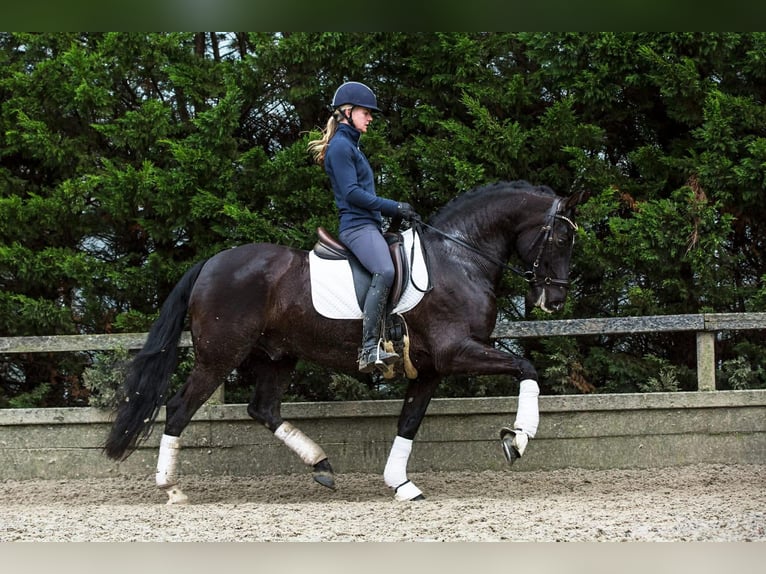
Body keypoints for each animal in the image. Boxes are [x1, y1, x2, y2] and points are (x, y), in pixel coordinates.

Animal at [104, 179, 582, 503]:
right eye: (561, 237)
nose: (554, 300)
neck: (459, 258)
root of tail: (211, 263)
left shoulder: (429, 368)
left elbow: (409, 422)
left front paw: (401, 484)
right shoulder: (456, 352)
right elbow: (526, 369)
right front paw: (518, 438)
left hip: (278, 356)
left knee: (263, 409)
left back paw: (321, 465)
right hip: (219, 357)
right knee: (178, 409)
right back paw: (172, 489)